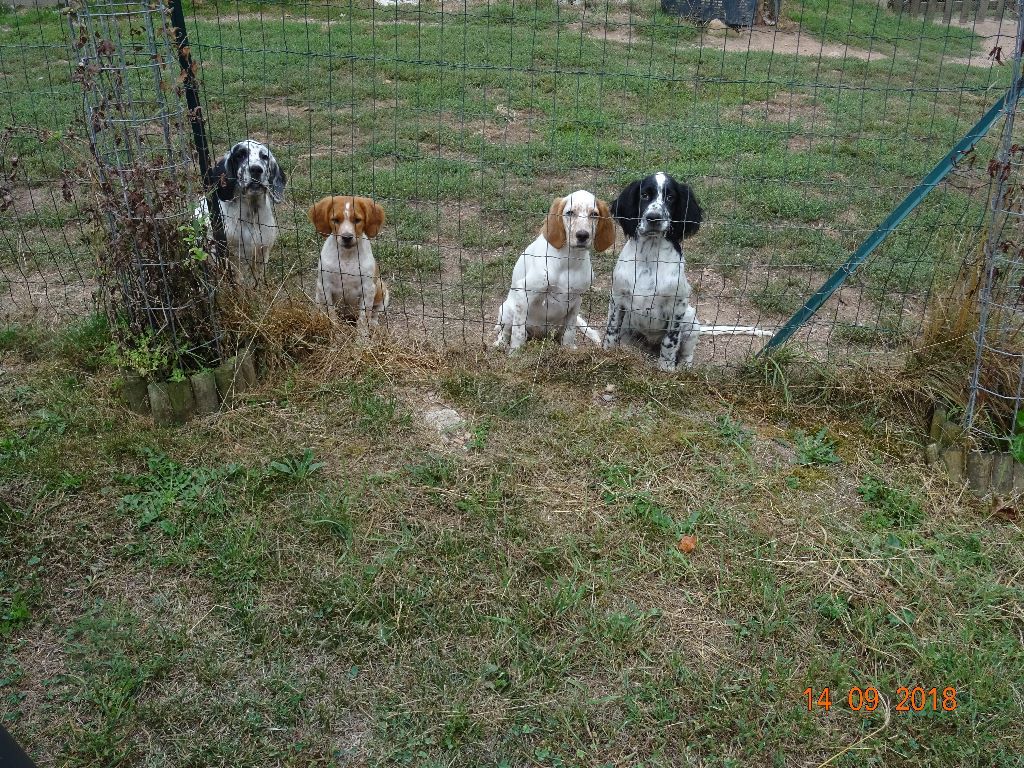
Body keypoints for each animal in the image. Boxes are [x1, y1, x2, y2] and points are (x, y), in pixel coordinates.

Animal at [196, 138, 286, 286]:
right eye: (240, 155)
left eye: (264, 157)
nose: (256, 169)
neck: (251, 216)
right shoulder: (227, 254)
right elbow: (238, 278)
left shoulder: (263, 251)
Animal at [307, 195, 387, 339]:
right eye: (335, 220)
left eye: (357, 220)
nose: (347, 237)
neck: (346, 256)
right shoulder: (325, 286)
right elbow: (331, 313)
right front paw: (336, 333)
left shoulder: (368, 289)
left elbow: (363, 319)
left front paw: (362, 340)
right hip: (318, 291)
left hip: (382, 289)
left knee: (375, 313)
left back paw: (373, 324)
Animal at [491, 189, 610, 352]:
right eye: (570, 212)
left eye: (594, 214)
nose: (582, 235)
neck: (569, 260)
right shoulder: (524, 292)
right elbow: (518, 332)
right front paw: (515, 353)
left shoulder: (576, 299)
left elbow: (570, 331)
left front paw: (569, 350)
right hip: (507, 310)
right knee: (506, 331)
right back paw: (500, 343)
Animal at [602, 173, 765, 370]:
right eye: (644, 195)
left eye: (670, 197)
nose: (654, 218)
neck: (650, 255)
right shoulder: (617, 298)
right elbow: (611, 331)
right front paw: (608, 356)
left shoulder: (677, 306)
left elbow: (670, 342)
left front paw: (666, 369)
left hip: (691, 322)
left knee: (687, 352)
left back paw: (684, 367)